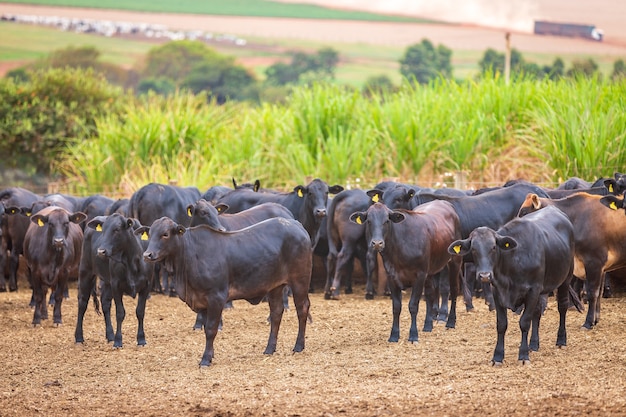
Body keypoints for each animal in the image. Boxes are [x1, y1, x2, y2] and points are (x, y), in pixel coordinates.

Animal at [73, 213, 150, 346]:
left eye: (117, 229)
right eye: (103, 230)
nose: (101, 251)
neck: (132, 261)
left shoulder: (146, 285)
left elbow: (140, 312)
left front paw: (141, 339)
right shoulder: (116, 285)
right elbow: (120, 313)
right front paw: (118, 341)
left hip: (107, 281)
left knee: (105, 303)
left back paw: (110, 335)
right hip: (85, 272)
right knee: (82, 303)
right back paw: (79, 337)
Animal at [137, 216, 312, 366]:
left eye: (165, 234)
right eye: (150, 234)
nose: (147, 255)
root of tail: (296, 224)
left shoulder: (216, 298)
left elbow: (211, 329)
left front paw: (205, 359)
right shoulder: (202, 301)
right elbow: (205, 328)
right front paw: (211, 354)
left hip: (300, 281)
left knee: (302, 309)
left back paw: (298, 346)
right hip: (275, 286)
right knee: (276, 313)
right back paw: (269, 348)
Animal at [348, 201, 460, 342]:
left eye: (387, 221)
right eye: (368, 221)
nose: (377, 243)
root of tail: (442, 201)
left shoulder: (419, 276)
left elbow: (413, 306)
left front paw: (413, 335)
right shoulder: (392, 276)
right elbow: (396, 307)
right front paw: (394, 335)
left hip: (454, 260)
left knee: (454, 290)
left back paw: (450, 322)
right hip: (430, 271)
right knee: (430, 293)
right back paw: (428, 325)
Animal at [446, 205, 576, 364]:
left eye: (493, 247)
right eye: (474, 249)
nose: (484, 275)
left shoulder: (533, 290)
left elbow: (524, 322)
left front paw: (523, 355)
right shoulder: (498, 292)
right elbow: (502, 324)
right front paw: (498, 356)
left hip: (565, 279)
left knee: (562, 307)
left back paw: (561, 340)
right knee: (537, 312)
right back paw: (534, 344)